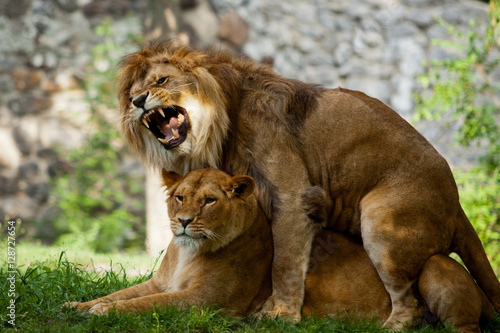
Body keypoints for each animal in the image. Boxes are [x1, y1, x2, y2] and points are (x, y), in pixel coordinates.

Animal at [65, 170, 492, 330]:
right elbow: (122, 294)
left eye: (209, 201)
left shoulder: (207, 302)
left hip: (435, 264)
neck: (188, 251)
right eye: (180, 197)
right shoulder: (160, 283)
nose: (183, 221)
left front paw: (102, 313)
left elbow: (142, 306)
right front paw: (77, 305)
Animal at [117, 40, 500, 326]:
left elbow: (285, 261)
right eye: (134, 91)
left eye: (161, 82)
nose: (137, 101)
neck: (222, 126)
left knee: (409, 304)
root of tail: (458, 206)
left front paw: (281, 314)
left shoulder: (291, 195)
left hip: (380, 220)